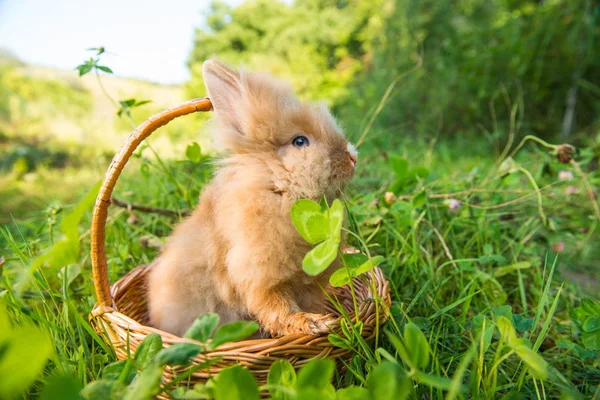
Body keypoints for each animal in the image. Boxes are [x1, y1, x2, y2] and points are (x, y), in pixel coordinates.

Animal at [147, 59, 358, 338]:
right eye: (300, 141)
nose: (353, 156)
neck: (278, 189)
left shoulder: (310, 284)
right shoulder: (260, 278)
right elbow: (278, 310)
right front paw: (315, 323)